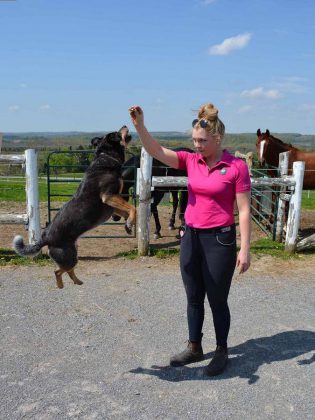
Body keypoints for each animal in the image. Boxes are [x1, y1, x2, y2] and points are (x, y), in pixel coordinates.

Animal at [12, 131, 136, 288]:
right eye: (117, 133)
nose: (125, 126)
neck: (105, 157)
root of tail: (45, 239)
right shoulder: (108, 197)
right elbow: (133, 208)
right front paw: (130, 223)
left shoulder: (112, 205)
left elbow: (128, 211)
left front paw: (128, 226)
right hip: (69, 256)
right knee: (58, 271)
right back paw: (61, 286)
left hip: (73, 252)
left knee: (66, 270)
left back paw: (77, 281)